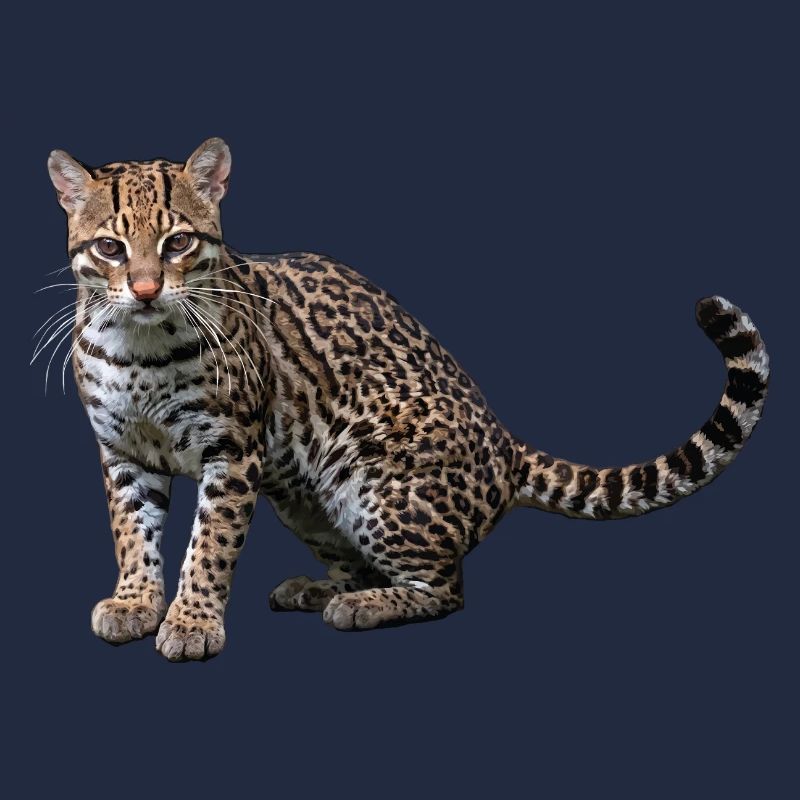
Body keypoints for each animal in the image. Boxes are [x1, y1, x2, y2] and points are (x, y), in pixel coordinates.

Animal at [41, 137, 770, 661]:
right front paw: (135, 602)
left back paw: (362, 606)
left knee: (447, 587)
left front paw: (192, 620)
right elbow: (132, 532)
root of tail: (508, 447)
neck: (139, 348)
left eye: (178, 243)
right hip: (304, 500)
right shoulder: (121, 451)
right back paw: (321, 588)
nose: (144, 289)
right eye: (110, 247)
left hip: (367, 481)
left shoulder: (233, 448)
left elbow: (210, 544)